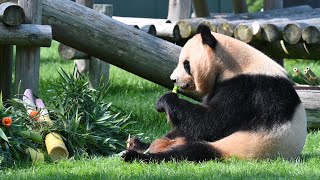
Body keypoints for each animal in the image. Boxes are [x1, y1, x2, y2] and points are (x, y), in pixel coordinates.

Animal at [120, 24, 308, 163]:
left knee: (190, 152)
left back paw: (138, 155)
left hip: (243, 146)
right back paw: (138, 144)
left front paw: (165, 100)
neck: (236, 64)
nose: (173, 79)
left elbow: (211, 122)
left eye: (186, 64)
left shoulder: (248, 90)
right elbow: (194, 122)